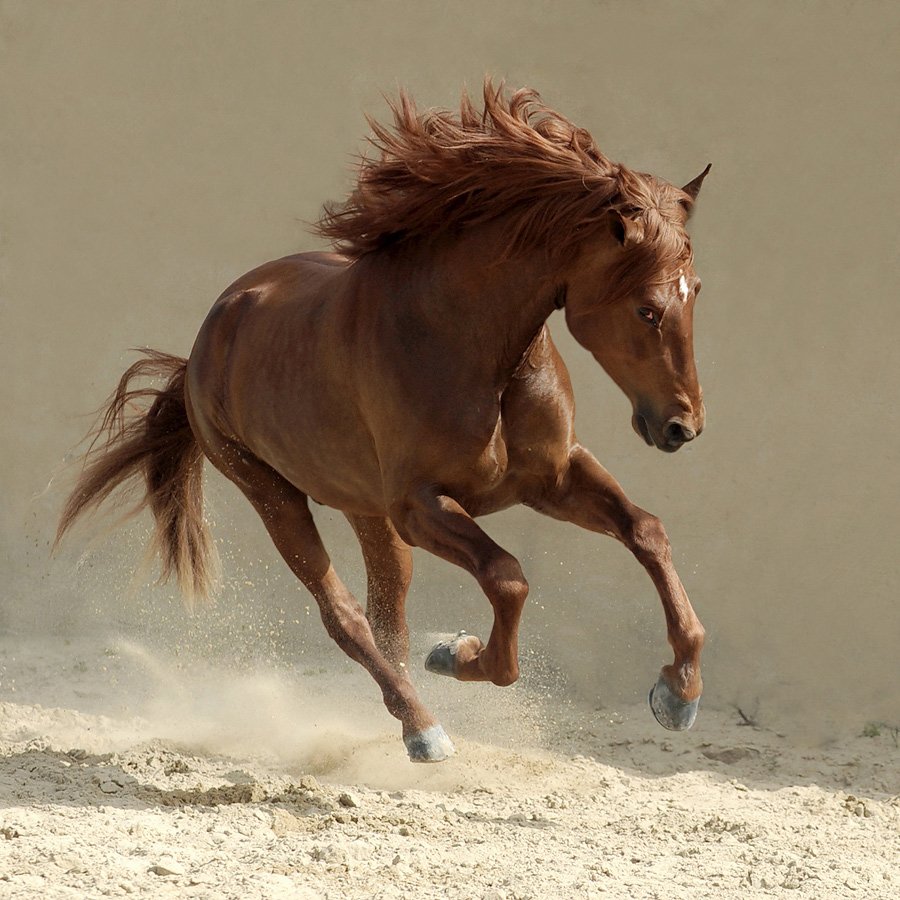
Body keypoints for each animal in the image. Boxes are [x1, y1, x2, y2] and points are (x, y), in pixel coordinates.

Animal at [56, 82, 712, 760]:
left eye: (696, 291)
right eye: (647, 309)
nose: (682, 426)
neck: (466, 343)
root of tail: (204, 345)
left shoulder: (551, 480)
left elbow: (646, 532)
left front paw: (677, 694)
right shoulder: (420, 505)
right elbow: (507, 577)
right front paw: (457, 655)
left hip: (366, 512)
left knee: (384, 619)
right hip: (274, 494)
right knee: (345, 617)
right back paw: (423, 728)